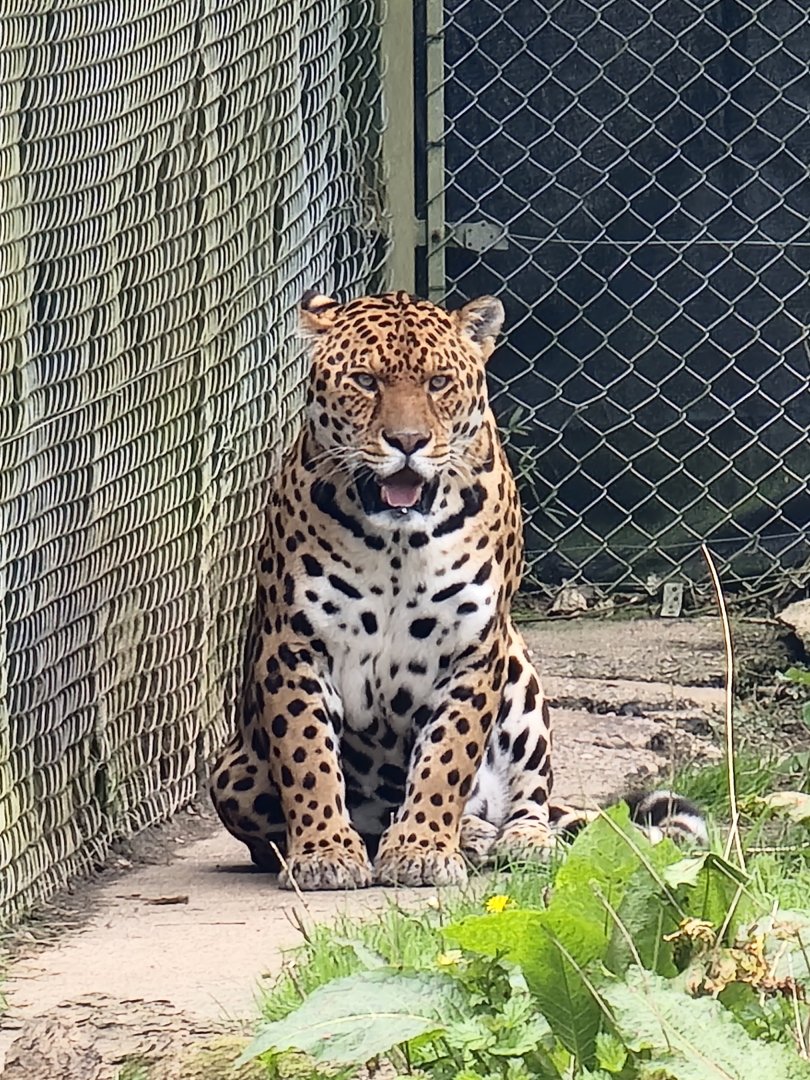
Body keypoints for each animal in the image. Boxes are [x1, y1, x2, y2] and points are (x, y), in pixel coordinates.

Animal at [209, 290, 705, 890]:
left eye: (439, 382)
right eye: (365, 381)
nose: (407, 442)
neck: (397, 543)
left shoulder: (473, 646)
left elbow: (448, 756)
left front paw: (422, 849)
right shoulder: (296, 645)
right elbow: (309, 758)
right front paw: (325, 852)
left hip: (521, 675)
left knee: (529, 799)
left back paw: (512, 839)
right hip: (230, 775)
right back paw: (449, 837)